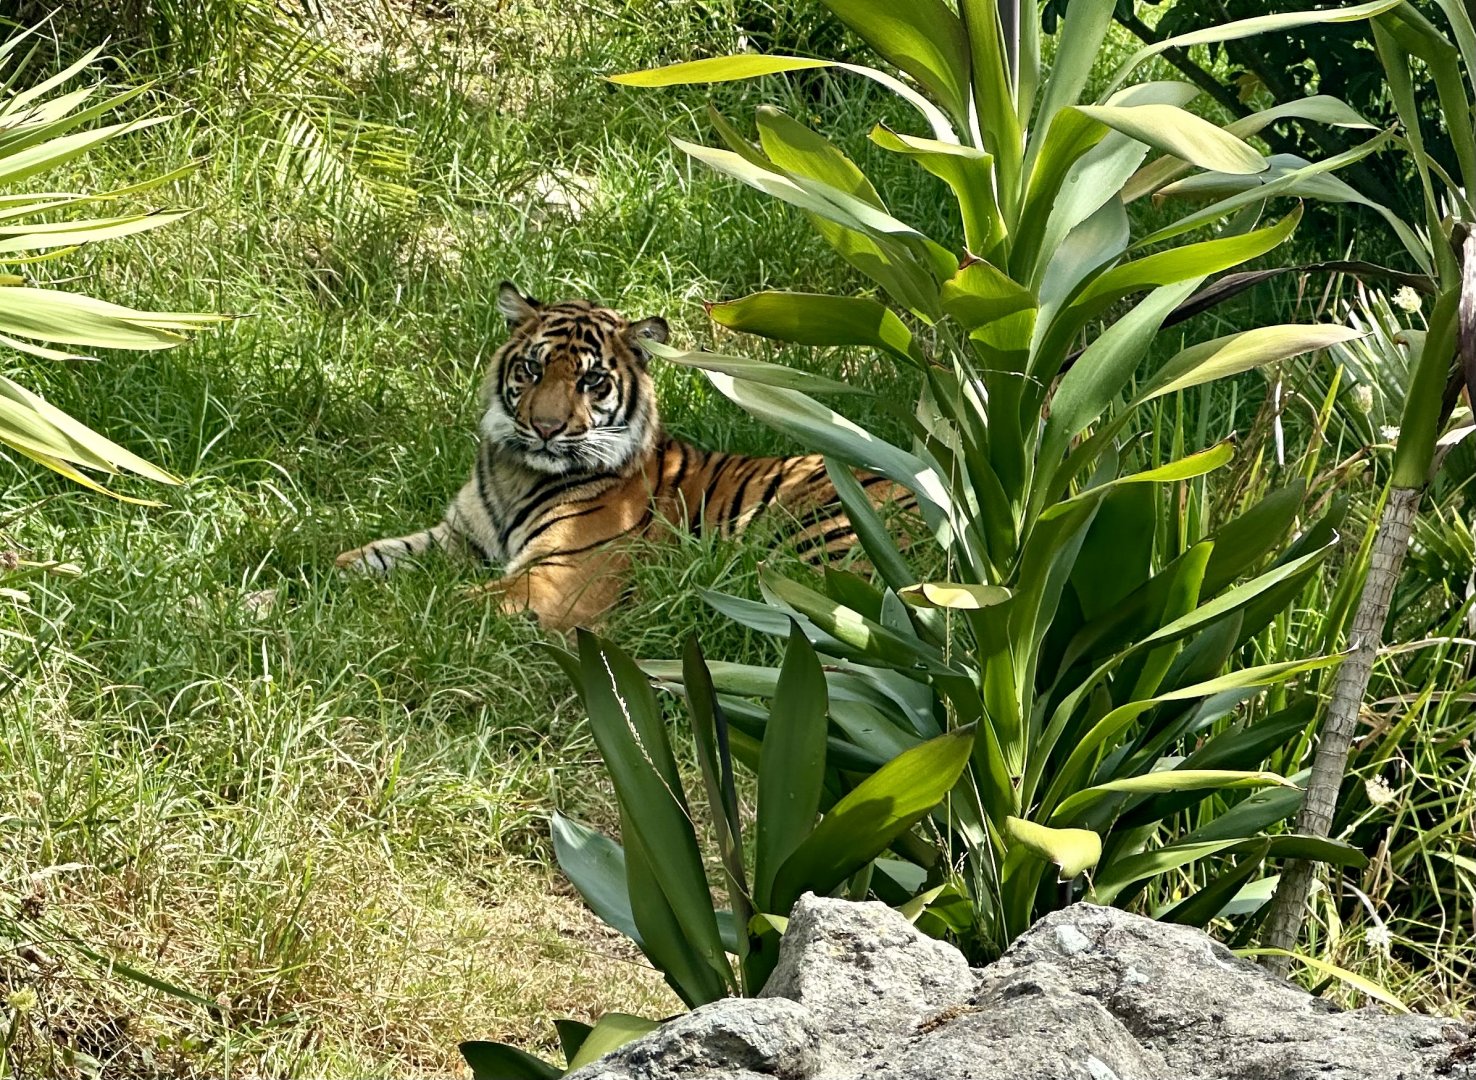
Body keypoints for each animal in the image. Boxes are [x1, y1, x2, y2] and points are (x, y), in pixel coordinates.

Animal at [334, 283, 911, 628]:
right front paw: (321, 581)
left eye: (591, 381)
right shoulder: (457, 536)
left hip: (815, 529)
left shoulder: (556, 577)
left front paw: (379, 620)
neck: (516, 474)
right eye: (532, 369)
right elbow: (367, 557)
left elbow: (452, 605)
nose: (545, 428)